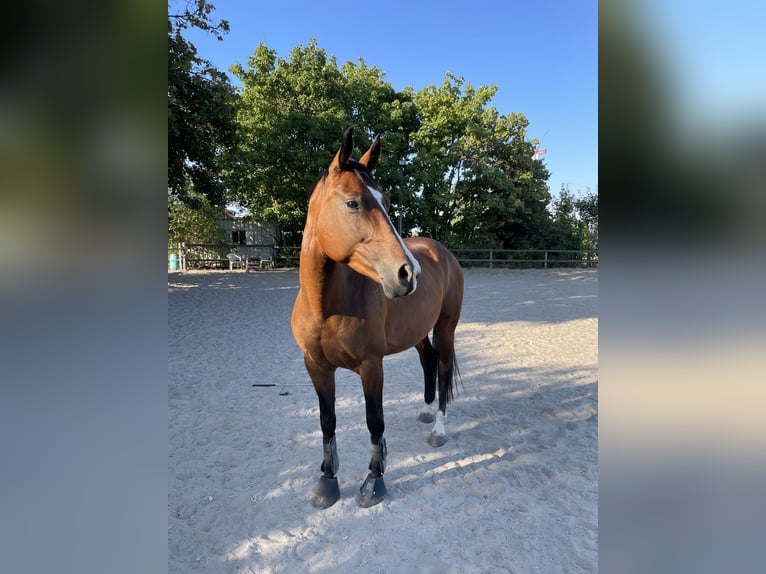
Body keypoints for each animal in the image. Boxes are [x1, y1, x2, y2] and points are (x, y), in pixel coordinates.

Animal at [291, 127, 464, 508]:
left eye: (385, 201)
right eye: (353, 202)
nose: (409, 273)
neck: (328, 306)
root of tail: (442, 253)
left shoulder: (372, 366)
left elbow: (374, 422)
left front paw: (374, 481)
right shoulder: (315, 366)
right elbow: (327, 421)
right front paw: (327, 481)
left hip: (445, 328)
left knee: (443, 368)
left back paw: (438, 428)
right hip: (418, 333)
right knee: (428, 362)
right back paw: (426, 410)